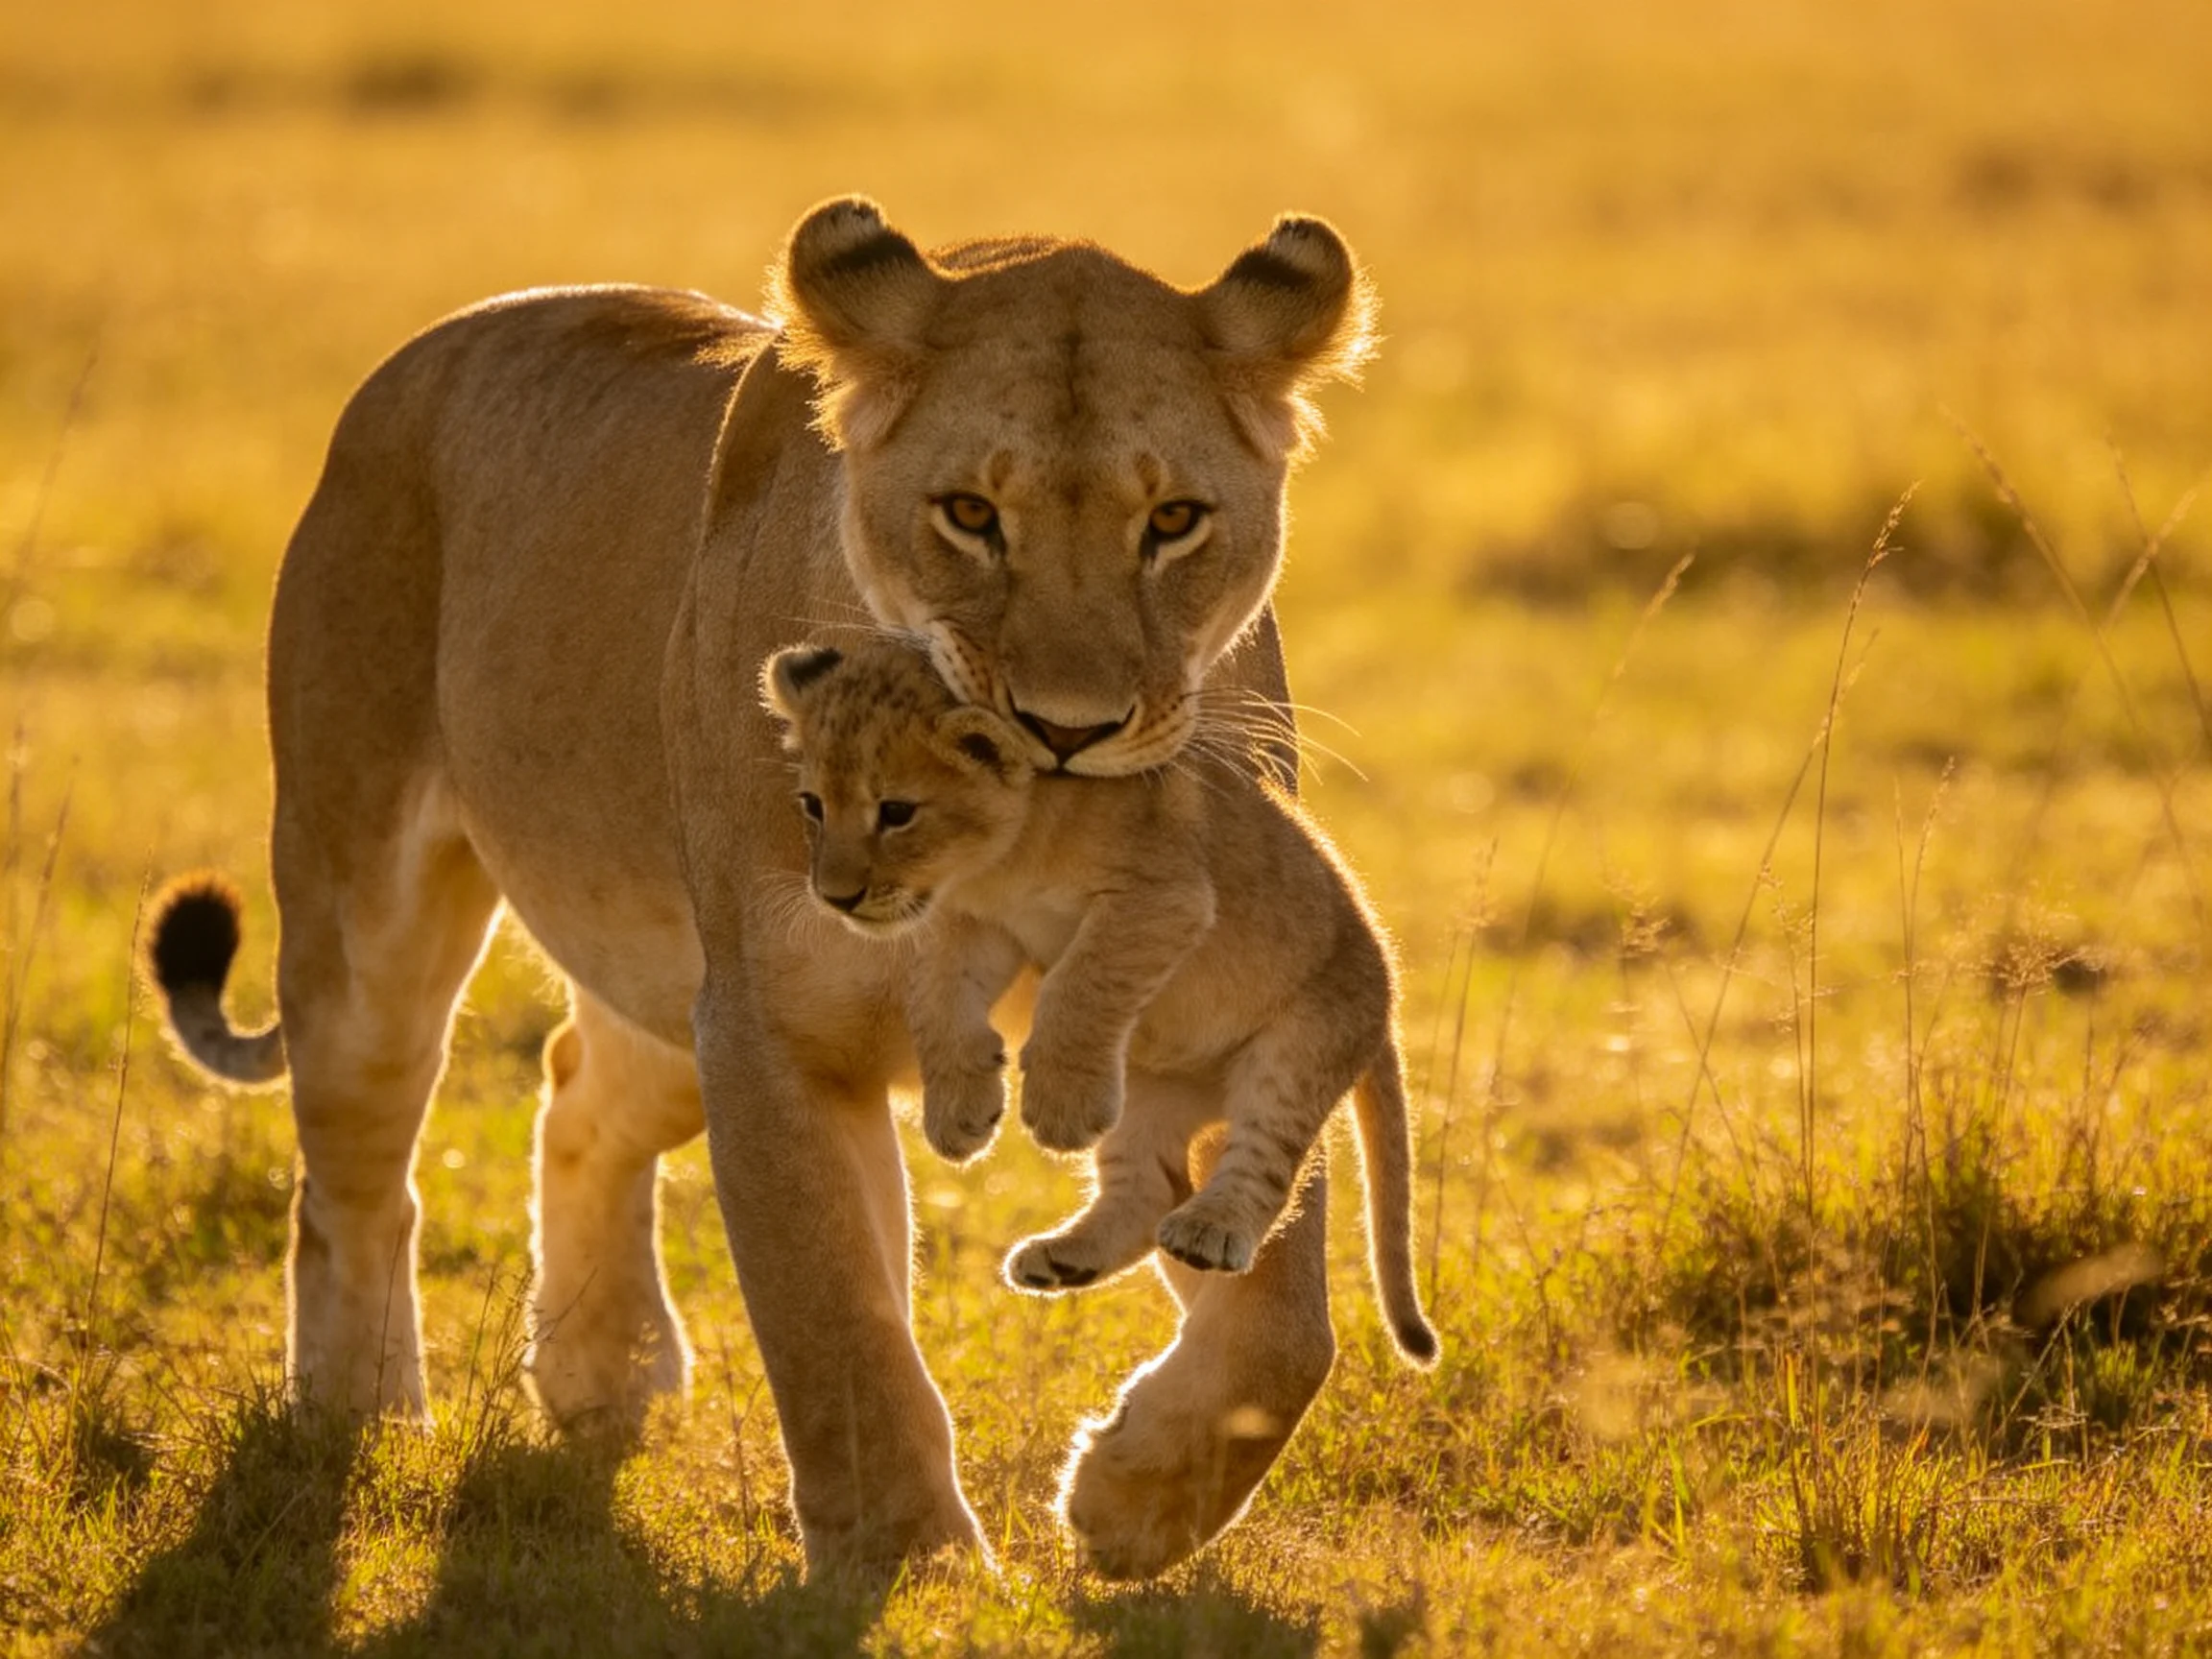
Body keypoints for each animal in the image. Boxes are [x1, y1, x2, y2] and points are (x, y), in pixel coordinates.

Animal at [758, 636, 1438, 1369]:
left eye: (895, 812)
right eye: (813, 805)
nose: (835, 897)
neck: (1000, 859)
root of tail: (1386, 985)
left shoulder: (1160, 899)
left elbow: (1078, 983)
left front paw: (1057, 1110)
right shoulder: (980, 925)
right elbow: (934, 999)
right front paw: (960, 1112)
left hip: (1301, 1046)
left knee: (1266, 1163)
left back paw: (1209, 1228)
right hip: (1143, 1093)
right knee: (1148, 1189)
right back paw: (1063, 1260)